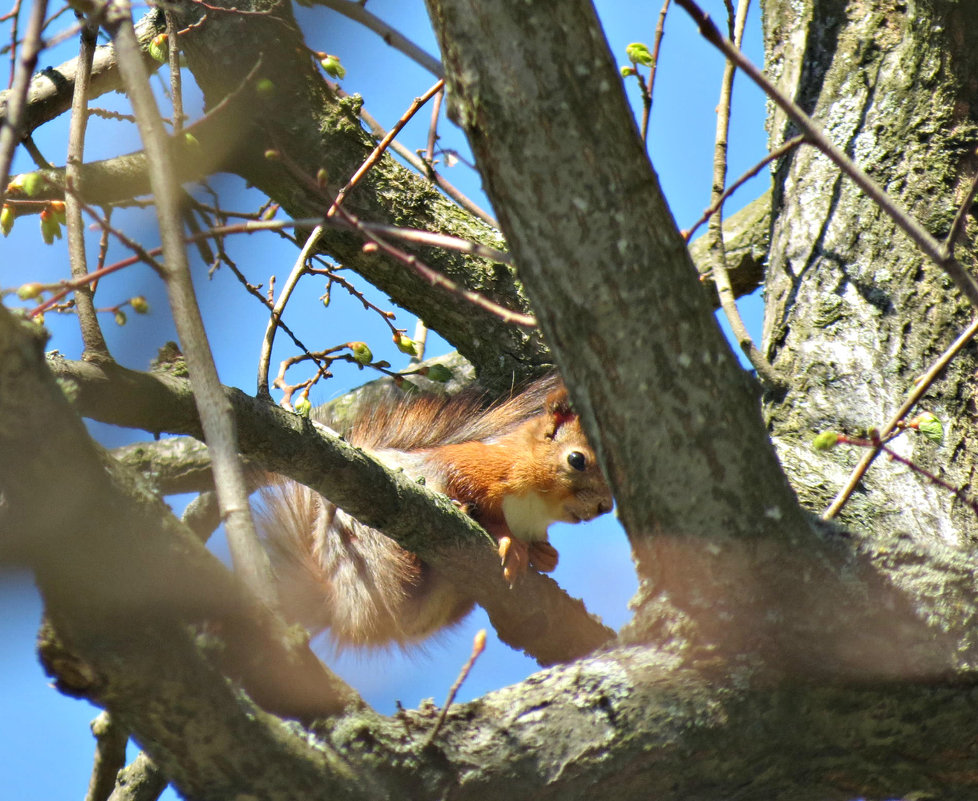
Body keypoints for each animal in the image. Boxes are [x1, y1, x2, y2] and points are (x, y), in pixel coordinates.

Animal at [258, 376, 608, 648]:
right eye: (577, 459)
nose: (605, 507)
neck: (537, 507)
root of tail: (345, 609)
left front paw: (545, 555)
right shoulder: (472, 467)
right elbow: (473, 494)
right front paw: (507, 539)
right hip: (366, 546)